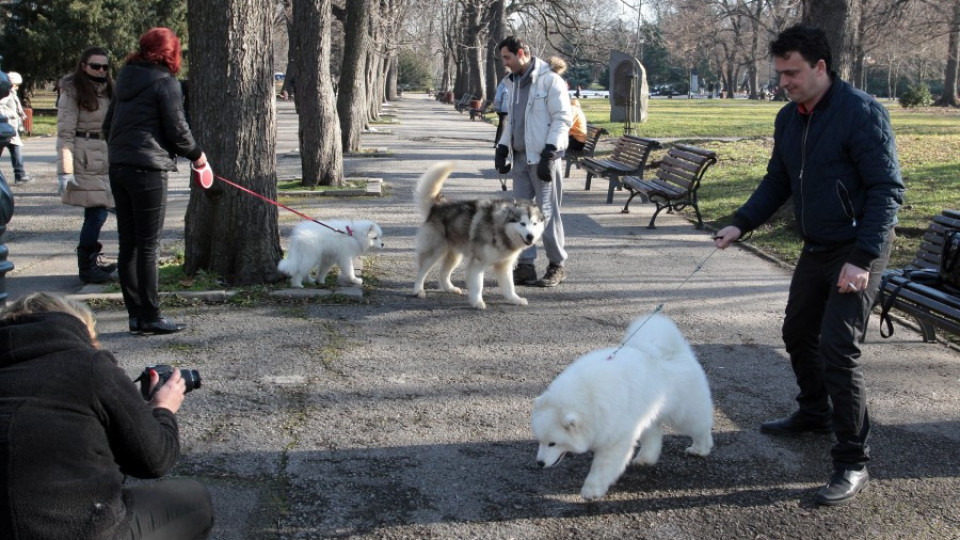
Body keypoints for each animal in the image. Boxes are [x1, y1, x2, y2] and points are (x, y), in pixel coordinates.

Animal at [412, 160, 548, 310]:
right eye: (522, 223)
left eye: (534, 224)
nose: (530, 236)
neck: (500, 229)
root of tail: (436, 205)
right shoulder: (478, 262)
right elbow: (478, 285)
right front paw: (478, 302)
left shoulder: (504, 265)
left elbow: (509, 286)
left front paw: (514, 299)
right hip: (435, 251)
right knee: (421, 271)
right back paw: (418, 290)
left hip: (455, 254)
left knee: (443, 273)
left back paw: (450, 288)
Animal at [532, 314, 712, 500]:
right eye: (540, 441)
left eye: (552, 443)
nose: (540, 463)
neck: (588, 398)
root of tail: (676, 352)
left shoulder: (615, 438)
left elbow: (603, 467)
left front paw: (592, 490)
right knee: (653, 435)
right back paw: (646, 458)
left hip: (683, 412)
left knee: (700, 427)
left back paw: (700, 448)